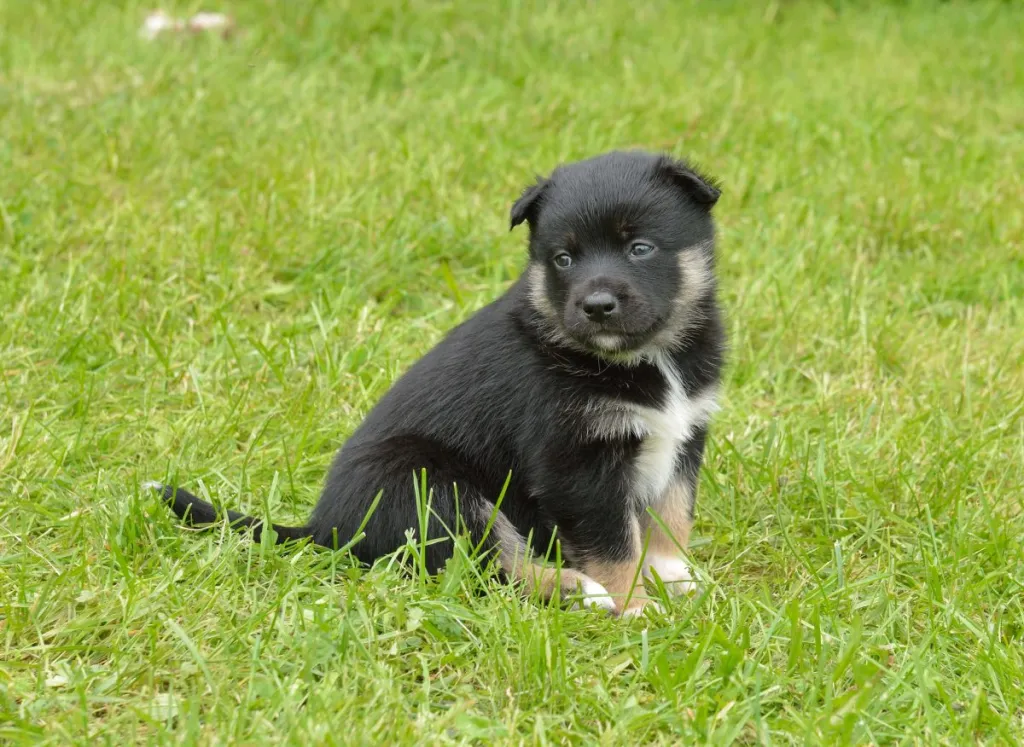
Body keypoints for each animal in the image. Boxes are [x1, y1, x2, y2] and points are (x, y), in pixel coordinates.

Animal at [153, 149, 729, 618]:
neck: (647, 357)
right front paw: (635, 603)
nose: (596, 306)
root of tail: (329, 528)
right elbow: (613, 542)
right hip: (433, 486)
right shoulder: (577, 462)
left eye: (640, 248)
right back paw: (578, 590)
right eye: (563, 258)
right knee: (489, 568)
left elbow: (671, 514)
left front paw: (676, 578)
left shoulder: (683, 436)